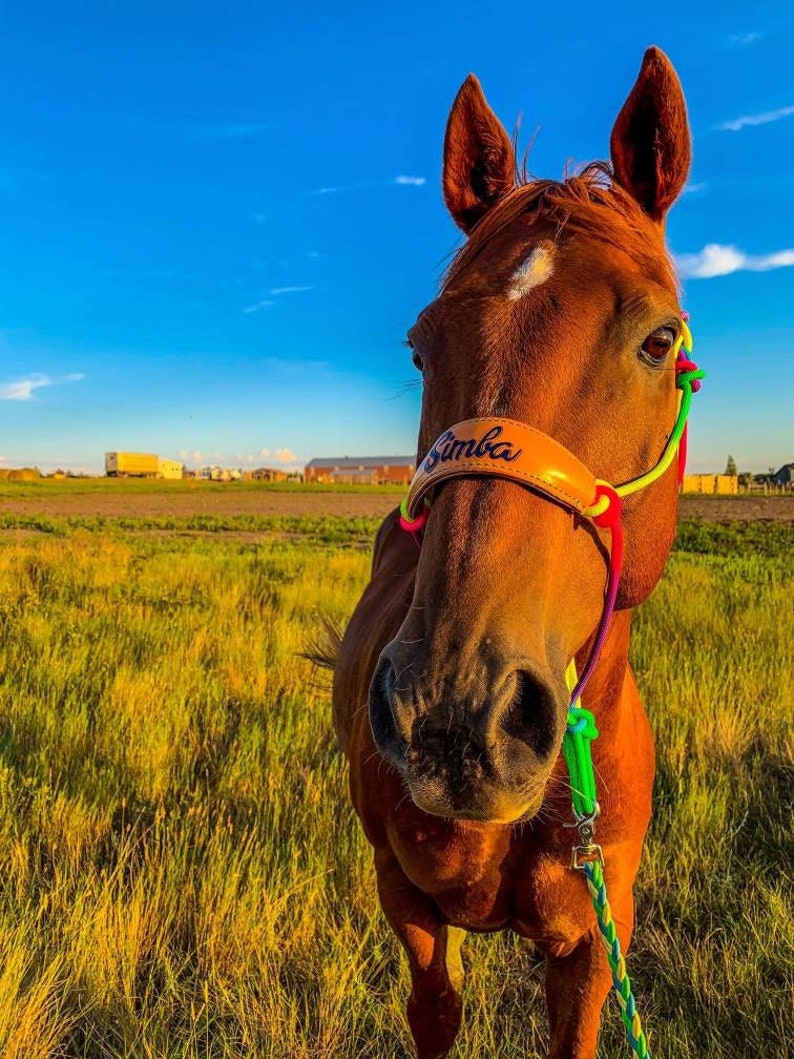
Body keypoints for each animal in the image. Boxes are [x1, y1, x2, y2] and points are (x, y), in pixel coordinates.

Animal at [332, 46, 692, 1059]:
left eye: (659, 339)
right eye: (421, 348)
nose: (455, 711)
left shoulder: (594, 945)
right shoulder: (405, 897)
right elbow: (434, 1011)